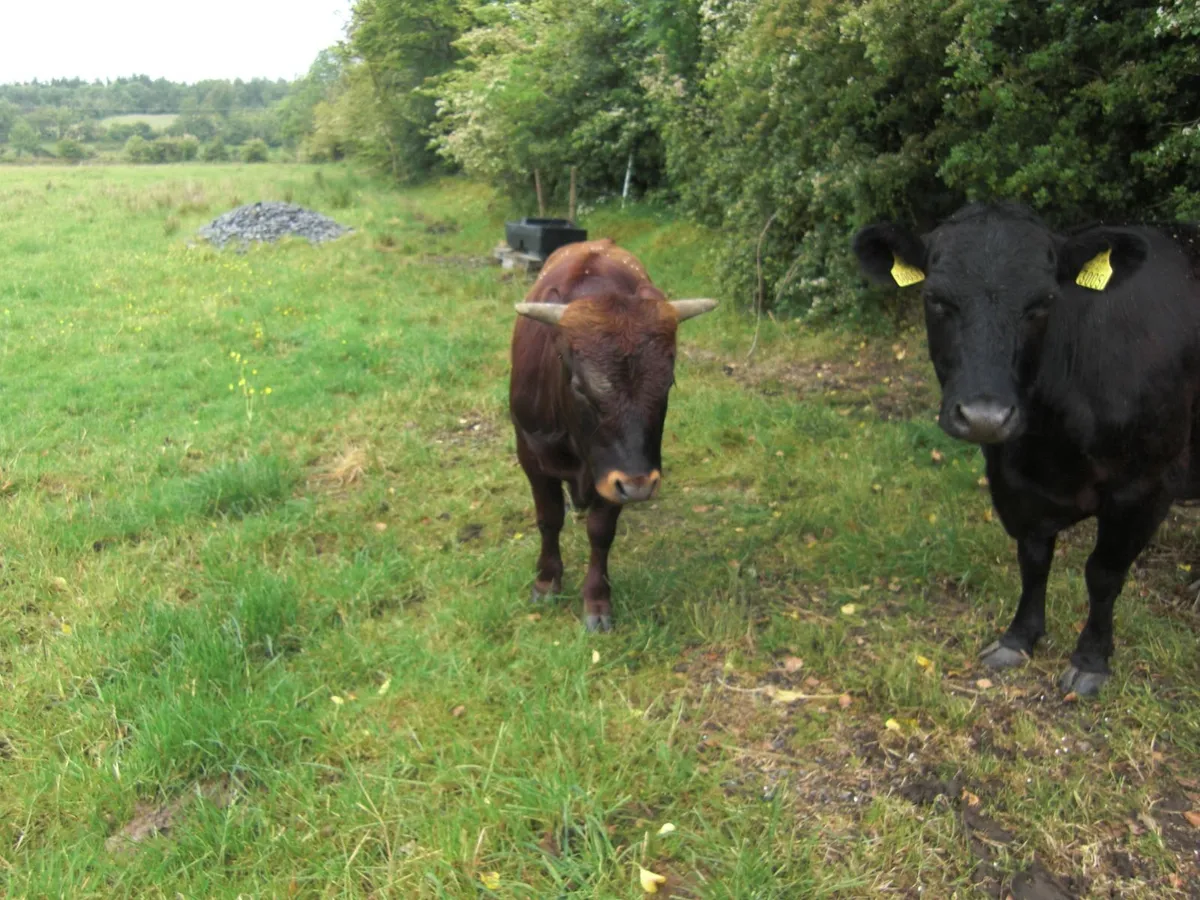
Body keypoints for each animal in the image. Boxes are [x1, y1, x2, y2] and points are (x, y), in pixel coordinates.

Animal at [510, 239, 717, 631]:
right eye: (579, 385)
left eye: (668, 383)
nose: (639, 487)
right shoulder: (531, 453)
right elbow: (549, 518)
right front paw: (546, 580)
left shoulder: (613, 474)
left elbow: (601, 532)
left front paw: (596, 600)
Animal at [853, 203, 1200, 695]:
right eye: (936, 299)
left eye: (1043, 303)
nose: (985, 415)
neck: (1048, 445)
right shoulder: (1011, 479)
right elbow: (1033, 559)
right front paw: (1018, 638)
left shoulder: (1145, 485)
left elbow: (1103, 572)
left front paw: (1090, 659)